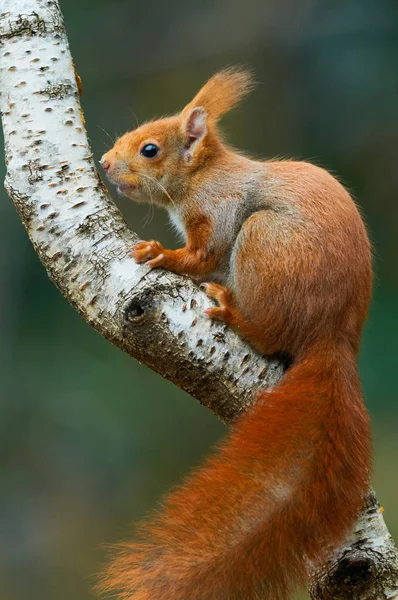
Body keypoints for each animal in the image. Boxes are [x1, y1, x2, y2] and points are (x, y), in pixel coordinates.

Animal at [99, 69, 374, 600]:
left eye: (149, 150)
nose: (103, 164)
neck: (201, 177)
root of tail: (334, 336)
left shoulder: (220, 210)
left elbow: (202, 255)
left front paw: (160, 253)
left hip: (263, 240)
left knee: (268, 334)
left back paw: (234, 314)